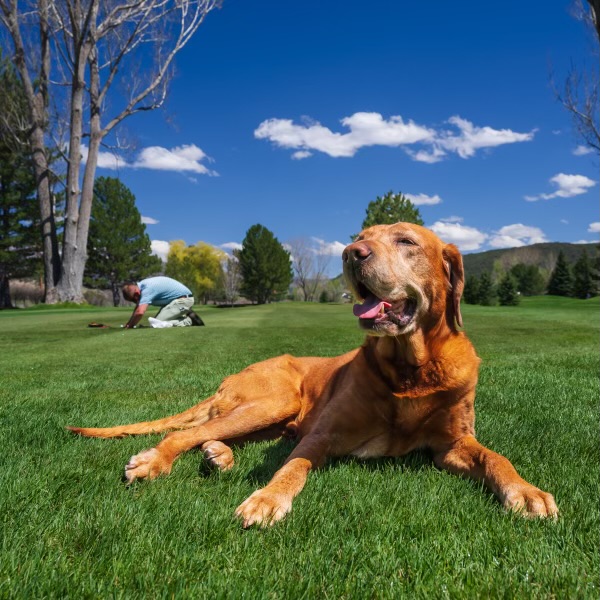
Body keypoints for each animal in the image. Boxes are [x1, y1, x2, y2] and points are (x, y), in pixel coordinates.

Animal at [69, 221, 556, 524]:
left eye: (405, 241)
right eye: (360, 237)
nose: (351, 253)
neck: (410, 368)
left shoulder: (453, 446)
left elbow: (495, 457)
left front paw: (526, 491)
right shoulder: (322, 436)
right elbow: (292, 467)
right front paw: (267, 498)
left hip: (275, 419)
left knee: (210, 434)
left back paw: (218, 455)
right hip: (275, 400)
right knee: (182, 433)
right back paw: (157, 460)